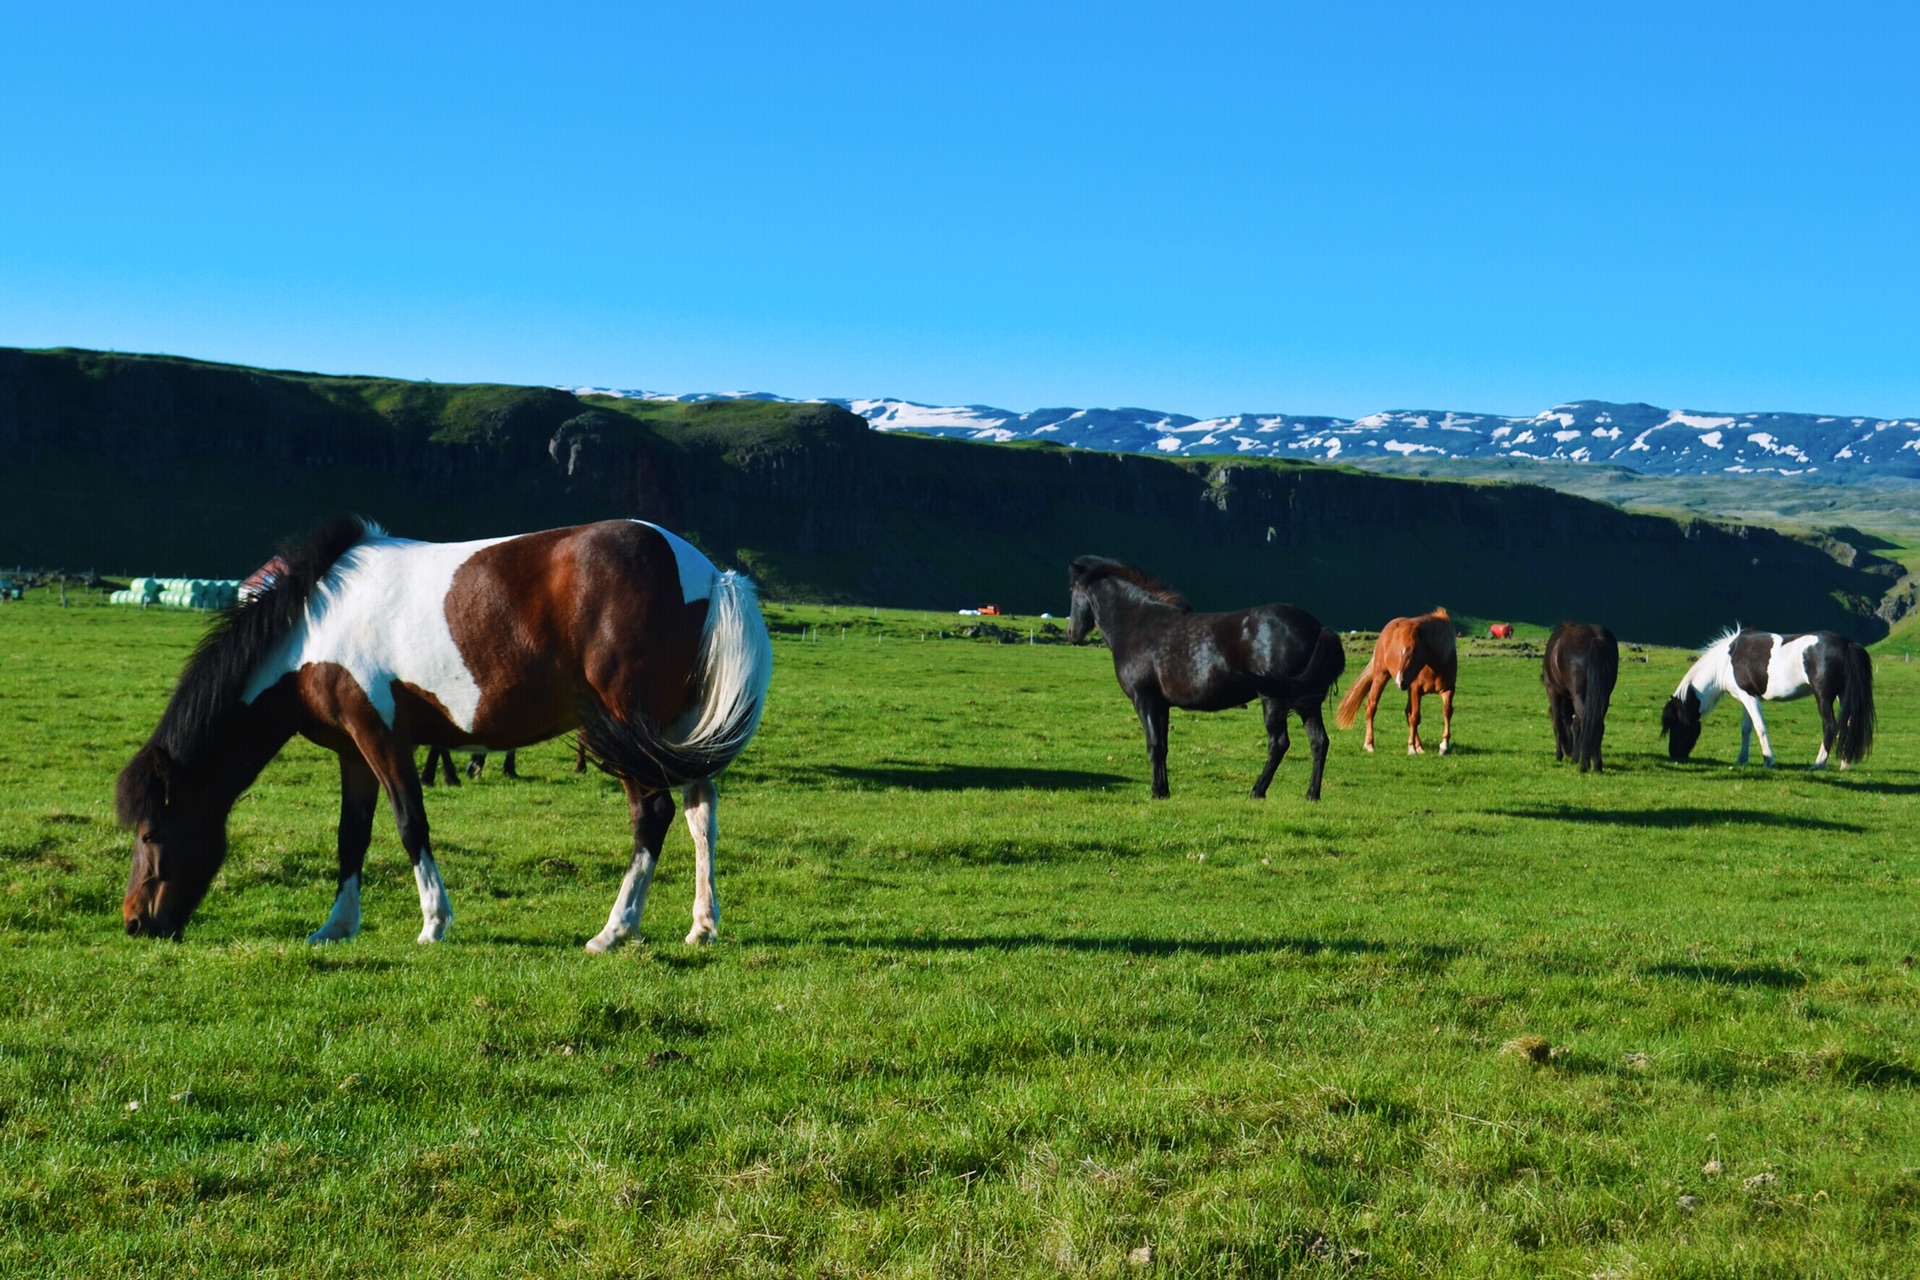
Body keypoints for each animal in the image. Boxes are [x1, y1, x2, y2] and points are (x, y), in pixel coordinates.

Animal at [112, 514, 768, 948]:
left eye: (149, 833)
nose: (135, 923)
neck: (314, 626)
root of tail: (712, 575)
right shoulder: (354, 752)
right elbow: (351, 836)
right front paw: (337, 926)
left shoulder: (382, 737)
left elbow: (410, 824)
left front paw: (433, 922)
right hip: (676, 732)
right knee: (700, 809)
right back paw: (701, 925)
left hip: (628, 729)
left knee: (653, 813)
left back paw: (615, 929)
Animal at [1067, 560, 1351, 802]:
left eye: (1073, 590)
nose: (1071, 633)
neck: (1139, 624)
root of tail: (1317, 627)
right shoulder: (1161, 705)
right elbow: (1163, 746)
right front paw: (1164, 790)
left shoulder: (1144, 700)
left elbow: (1153, 745)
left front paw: (1157, 791)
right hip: (1307, 703)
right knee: (1319, 743)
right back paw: (1311, 794)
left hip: (1274, 699)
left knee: (1279, 743)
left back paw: (1257, 790)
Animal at [1336, 610, 1451, 756]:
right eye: (1401, 650)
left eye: (1414, 651)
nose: (1400, 680)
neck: (1434, 667)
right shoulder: (1416, 690)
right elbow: (1415, 717)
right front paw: (1411, 749)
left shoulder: (1448, 690)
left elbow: (1447, 712)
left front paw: (1444, 746)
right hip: (1381, 676)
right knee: (1371, 706)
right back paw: (1369, 744)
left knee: (1408, 713)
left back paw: (1420, 747)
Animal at [1536, 621, 1612, 771]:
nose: (1568, 752)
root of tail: (1595, 638)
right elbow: (1574, 724)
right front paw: (1575, 757)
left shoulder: (1552, 690)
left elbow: (1558, 723)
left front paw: (1559, 755)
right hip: (1604, 696)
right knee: (1598, 723)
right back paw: (1597, 764)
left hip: (1577, 694)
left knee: (1585, 720)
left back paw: (1585, 764)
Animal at [1666, 625, 1873, 767]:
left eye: (1676, 724)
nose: (1674, 754)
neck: (1725, 662)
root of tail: (1847, 644)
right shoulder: (1747, 697)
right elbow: (1746, 728)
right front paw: (1741, 759)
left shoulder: (1749, 697)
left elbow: (1760, 727)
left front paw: (1768, 759)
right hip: (1843, 695)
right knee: (1848, 723)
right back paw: (1845, 763)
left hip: (1823, 696)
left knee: (1830, 725)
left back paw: (1818, 764)